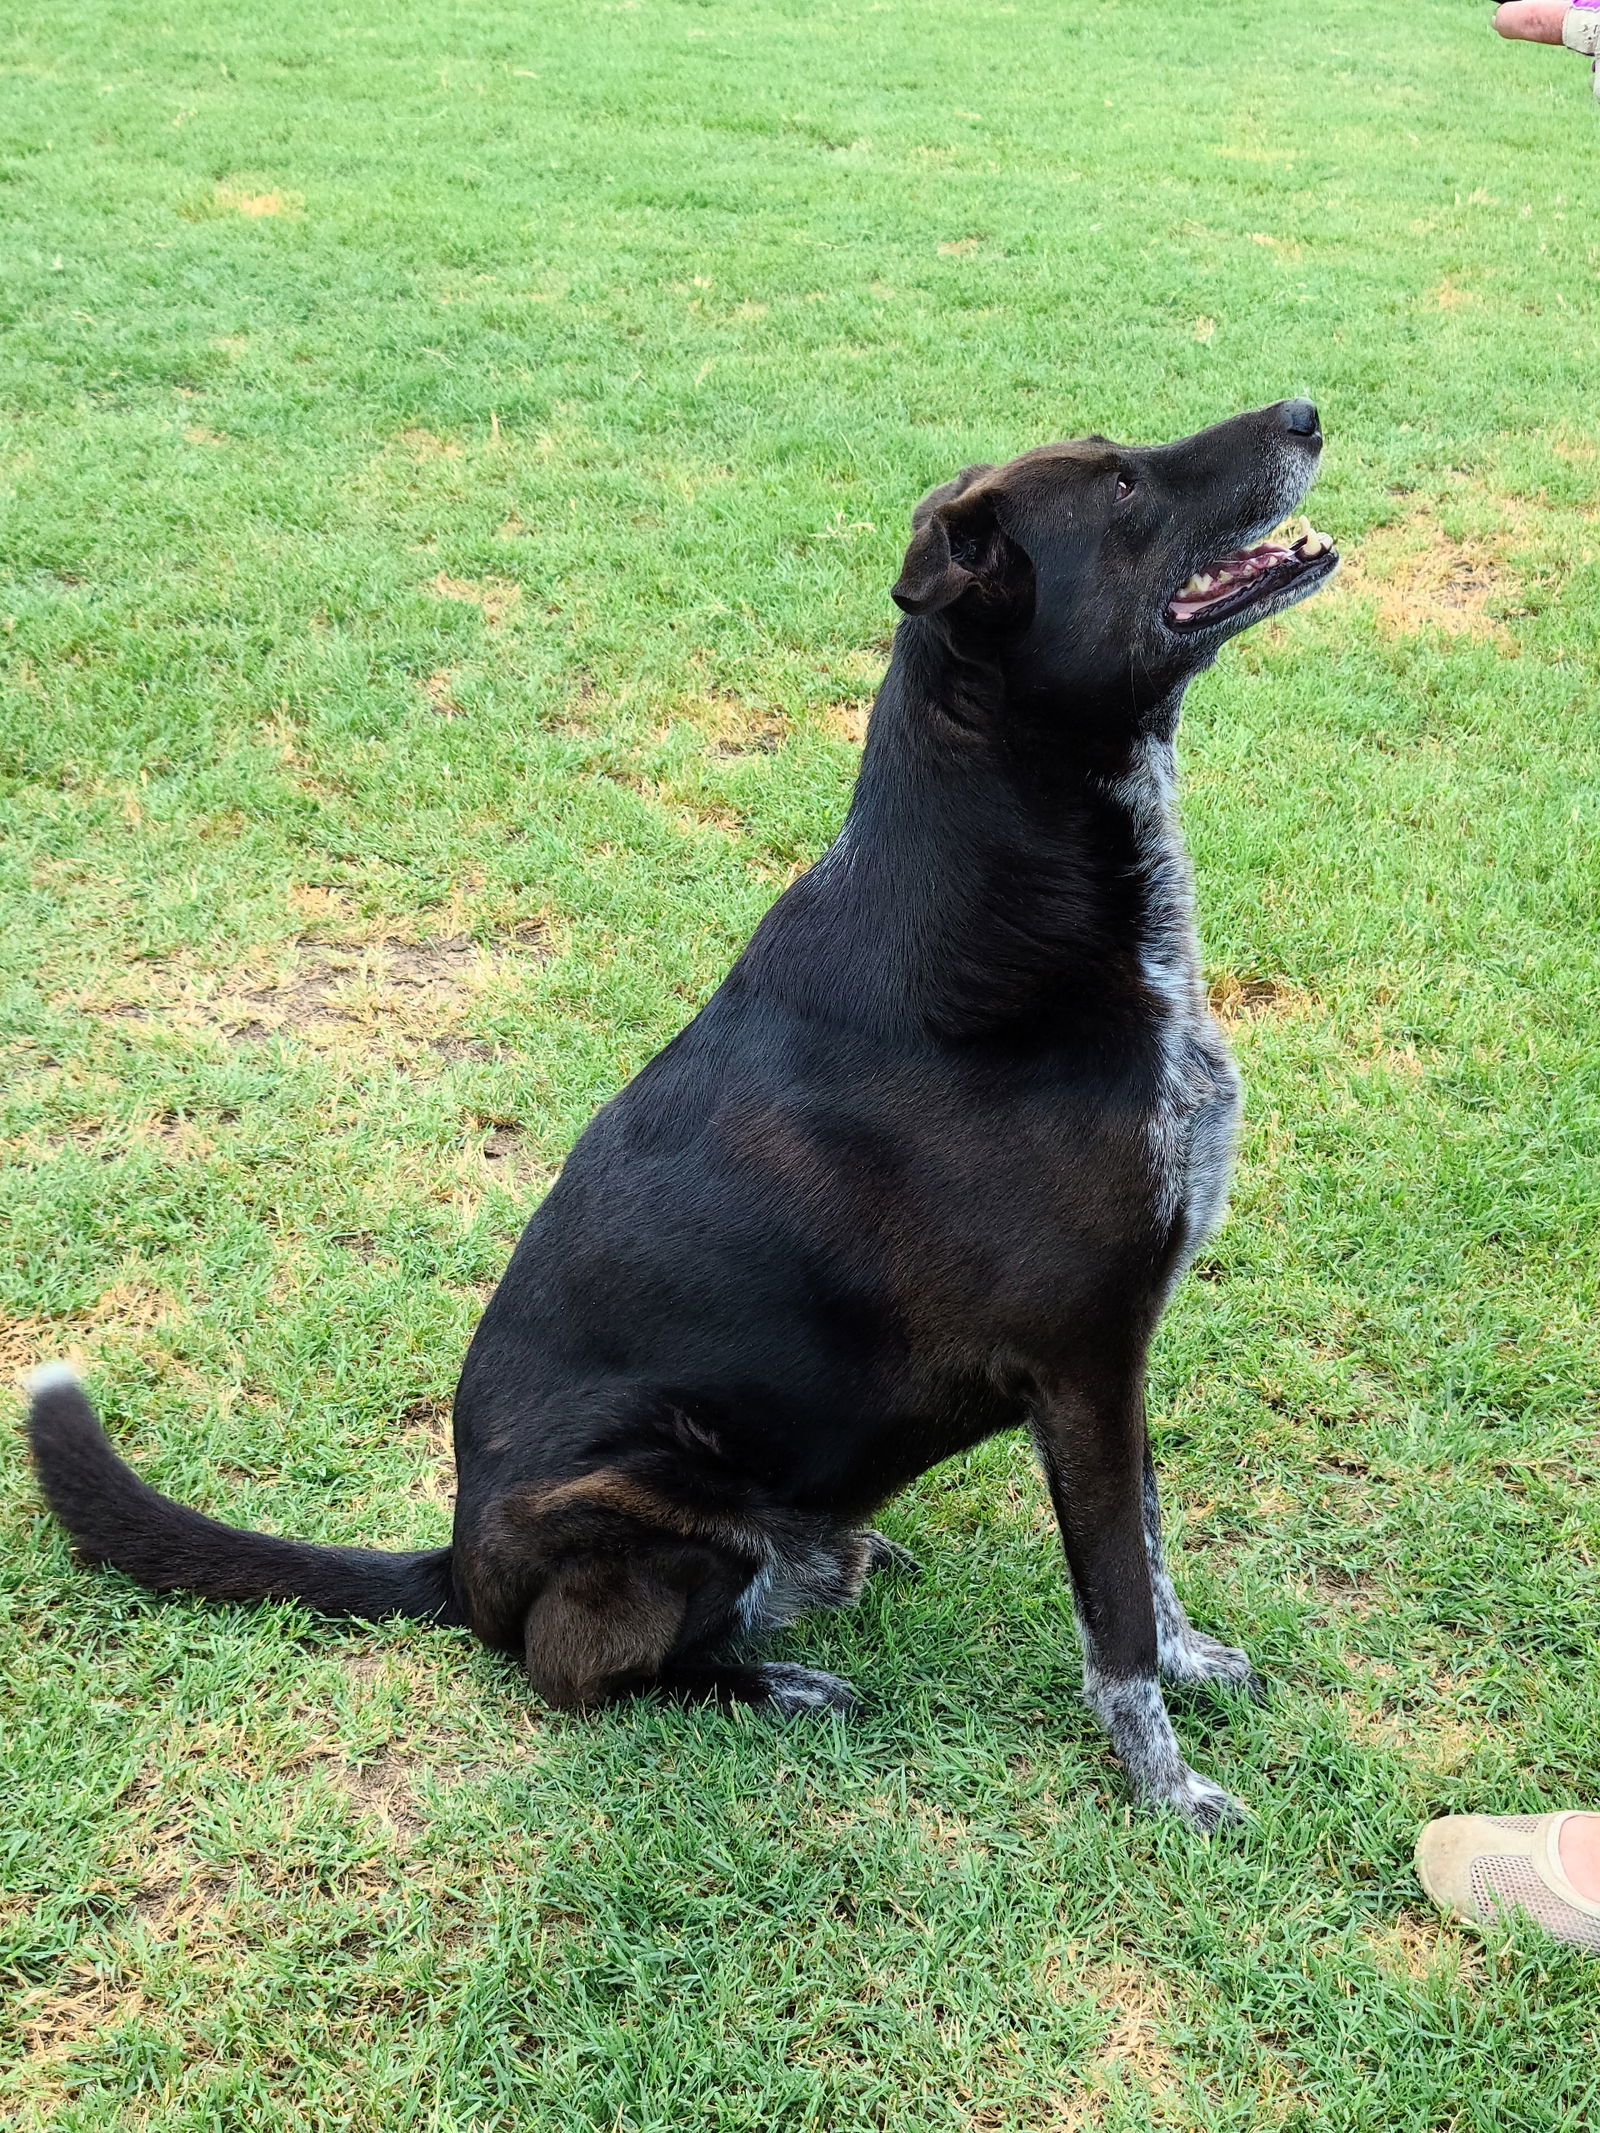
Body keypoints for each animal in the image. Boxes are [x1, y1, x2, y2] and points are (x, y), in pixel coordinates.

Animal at [28, 403, 1339, 1834]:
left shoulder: (1116, 1366)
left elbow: (1149, 1554)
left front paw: (1194, 1670)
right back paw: (776, 1684)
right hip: (655, 1507)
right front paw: (1166, 1783)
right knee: (575, 1670)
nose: (1304, 413)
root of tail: (456, 1564)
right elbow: (1113, 1610)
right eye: (1120, 487)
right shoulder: (1084, 1363)